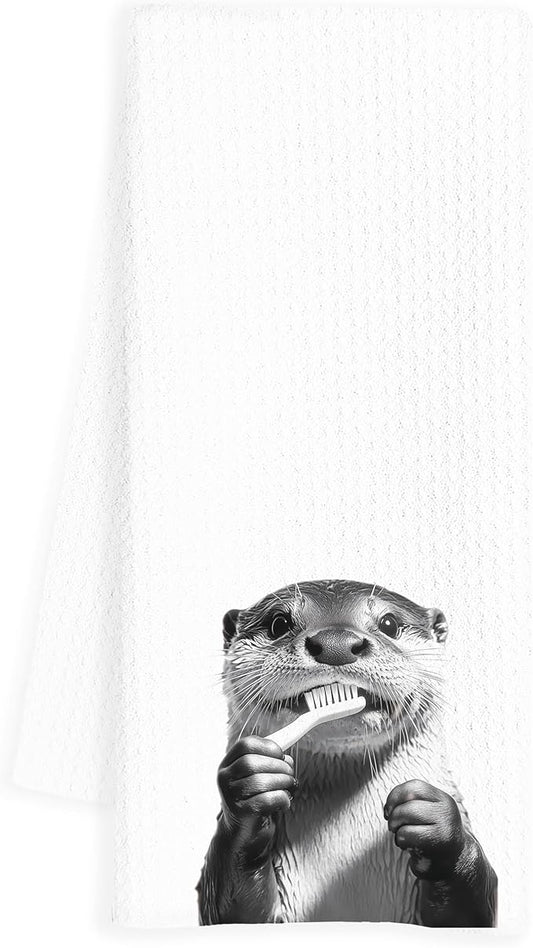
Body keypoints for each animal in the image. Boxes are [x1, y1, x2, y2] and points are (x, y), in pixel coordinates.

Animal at [196, 580, 497, 926]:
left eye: (389, 623)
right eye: (278, 623)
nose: (336, 644)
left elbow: (472, 910)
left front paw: (434, 820)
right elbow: (230, 909)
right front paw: (250, 781)